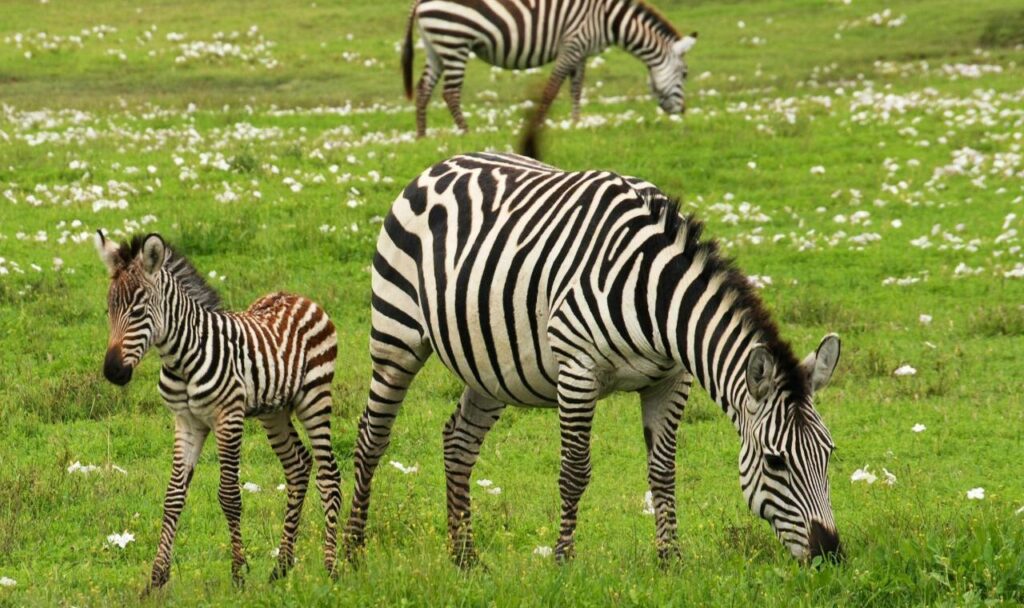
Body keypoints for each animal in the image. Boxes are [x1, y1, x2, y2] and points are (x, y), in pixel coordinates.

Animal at [95, 232, 342, 591]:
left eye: (138, 310)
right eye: (109, 309)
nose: (113, 372)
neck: (182, 358)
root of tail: (300, 296)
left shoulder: (228, 417)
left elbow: (229, 496)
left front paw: (238, 573)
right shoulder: (186, 422)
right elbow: (173, 497)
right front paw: (156, 579)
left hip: (315, 397)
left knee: (329, 474)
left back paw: (332, 567)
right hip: (274, 411)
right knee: (298, 466)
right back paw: (281, 566)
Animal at [344, 153, 843, 566]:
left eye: (828, 454)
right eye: (775, 462)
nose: (830, 555)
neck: (655, 294)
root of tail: (440, 164)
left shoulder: (671, 379)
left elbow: (663, 472)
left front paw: (671, 561)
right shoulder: (578, 369)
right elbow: (574, 471)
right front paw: (563, 559)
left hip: (490, 365)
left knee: (458, 441)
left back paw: (464, 557)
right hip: (396, 334)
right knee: (372, 436)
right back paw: (350, 552)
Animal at [401, 0, 698, 137]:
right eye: (684, 75)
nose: (682, 112)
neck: (608, 19)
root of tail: (420, 2)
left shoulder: (581, 53)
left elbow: (576, 88)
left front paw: (576, 123)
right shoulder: (573, 44)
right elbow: (552, 88)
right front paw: (540, 124)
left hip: (436, 46)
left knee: (423, 88)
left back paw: (421, 136)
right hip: (455, 41)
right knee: (450, 93)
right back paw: (466, 132)